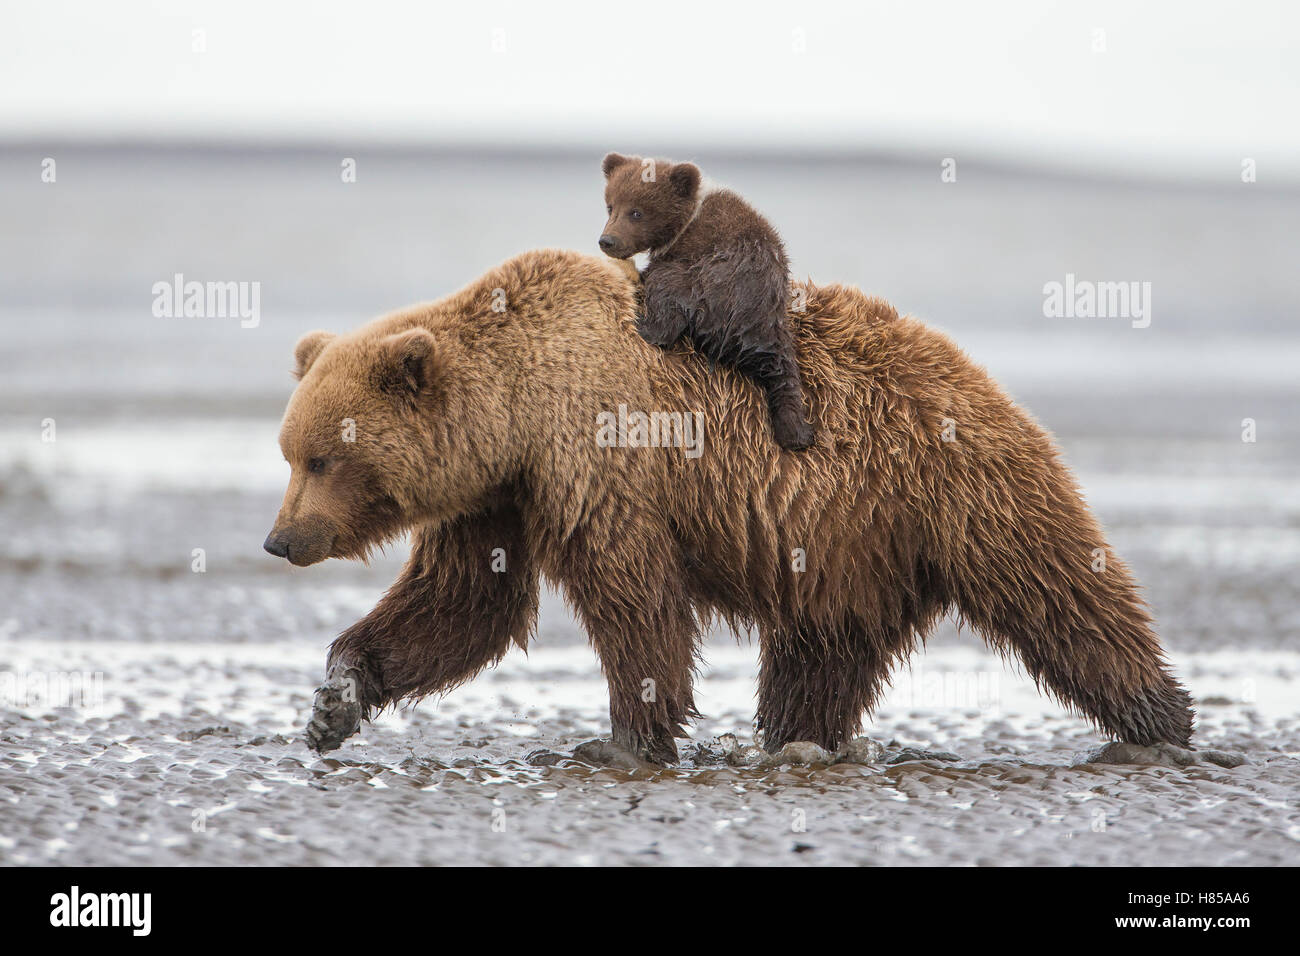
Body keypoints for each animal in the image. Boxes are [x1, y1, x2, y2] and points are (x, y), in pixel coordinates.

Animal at [264, 248, 1194, 765]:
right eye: (288, 452)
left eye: (323, 456)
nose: (281, 539)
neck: (520, 410)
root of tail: (984, 379)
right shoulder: (495, 499)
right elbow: (462, 606)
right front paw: (332, 702)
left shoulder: (599, 463)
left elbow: (634, 604)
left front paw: (622, 738)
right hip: (847, 550)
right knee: (819, 658)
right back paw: (798, 740)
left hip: (962, 490)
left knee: (1063, 595)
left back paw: (1161, 719)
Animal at [599, 152, 815, 451]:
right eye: (610, 207)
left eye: (637, 212)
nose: (607, 241)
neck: (686, 222)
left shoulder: (693, 247)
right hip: (771, 319)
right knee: (782, 369)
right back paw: (796, 432)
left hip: (707, 283)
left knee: (667, 294)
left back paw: (646, 324)